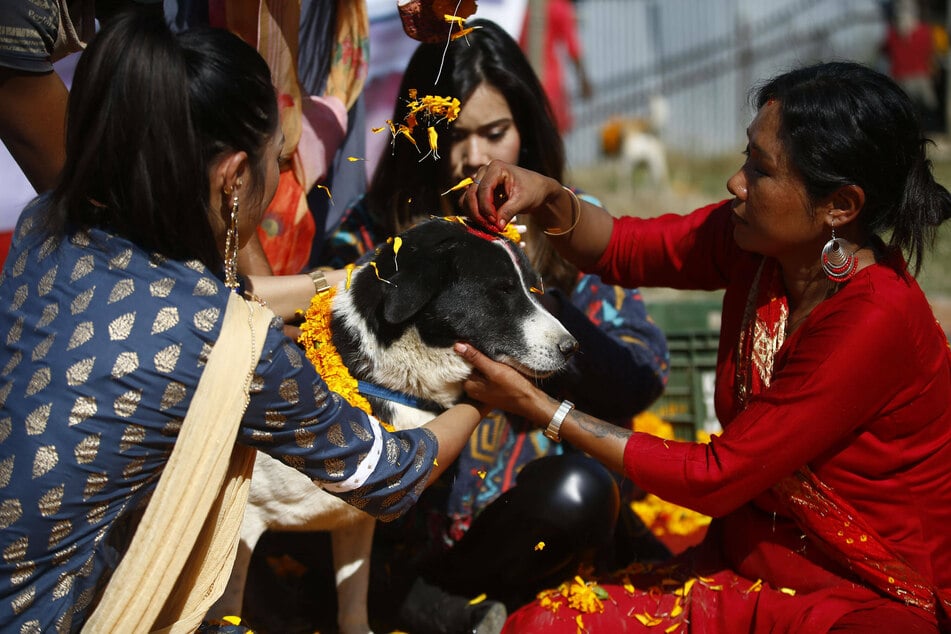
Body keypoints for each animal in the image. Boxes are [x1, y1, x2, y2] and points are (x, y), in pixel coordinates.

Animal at [211, 218, 576, 632]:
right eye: (502, 289)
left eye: (532, 288)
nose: (572, 347)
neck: (386, 382)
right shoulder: (243, 526)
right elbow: (229, 601)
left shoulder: (354, 523)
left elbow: (353, 606)